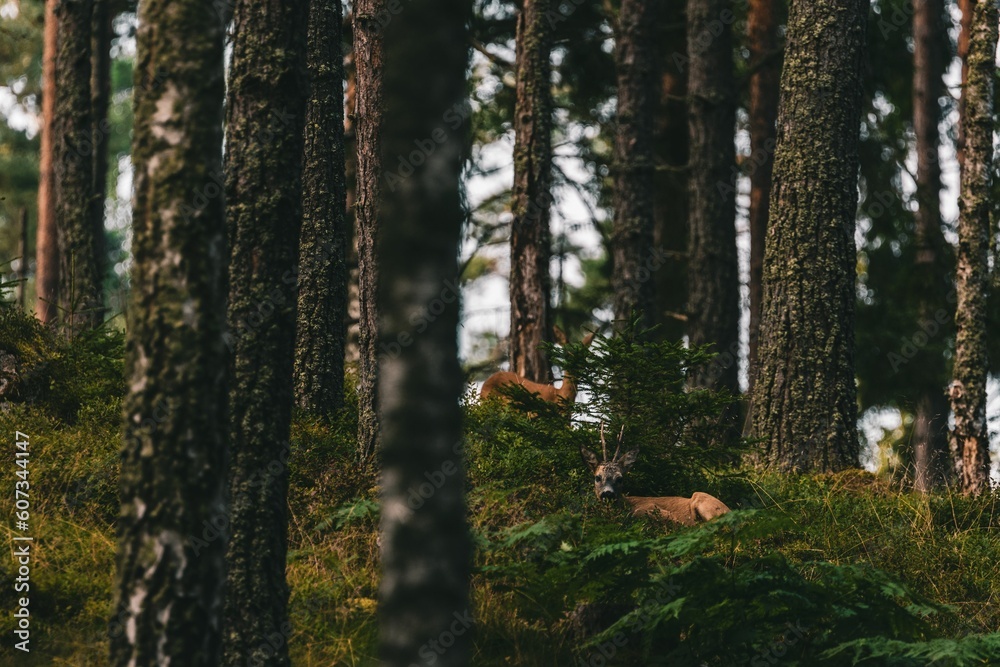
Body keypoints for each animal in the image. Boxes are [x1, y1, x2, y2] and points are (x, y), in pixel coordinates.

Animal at [579, 423, 730, 527]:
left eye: (620, 479)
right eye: (597, 477)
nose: (608, 493)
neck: (625, 504)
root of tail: (729, 510)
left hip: (702, 498)